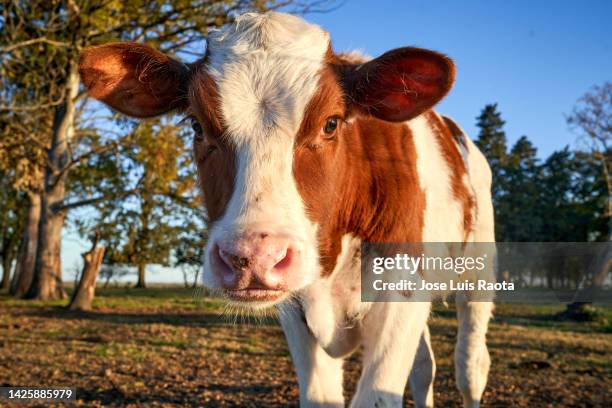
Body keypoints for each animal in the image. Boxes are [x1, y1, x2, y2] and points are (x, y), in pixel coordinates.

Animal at [80, 11, 492, 406]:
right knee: (424, 366)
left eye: (331, 123)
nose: (253, 258)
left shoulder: (401, 293)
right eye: (197, 125)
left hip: (478, 272)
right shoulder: (297, 313)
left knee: (471, 365)